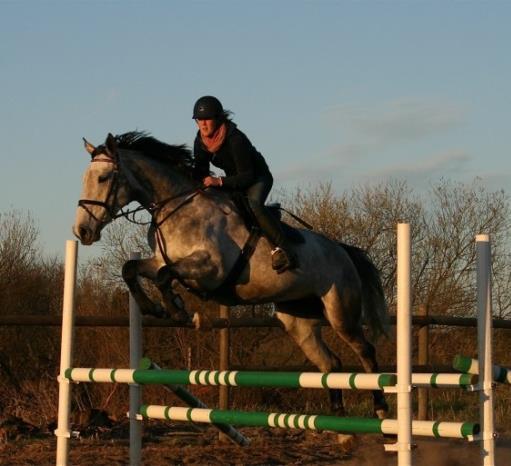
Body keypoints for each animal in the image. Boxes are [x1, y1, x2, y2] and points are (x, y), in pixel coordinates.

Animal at [73, 130, 388, 418]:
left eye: (103, 178)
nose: (82, 232)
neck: (176, 207)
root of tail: (342, 250)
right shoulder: (159, 260)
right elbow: (132, 269)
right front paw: (154, 307)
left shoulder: (211, 268)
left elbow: (164, 276)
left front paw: (179, 311)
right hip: (298, 321)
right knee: (330, 364)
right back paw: (340, 424)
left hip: (341, 312)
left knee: (366, 351)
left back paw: (381, 408)